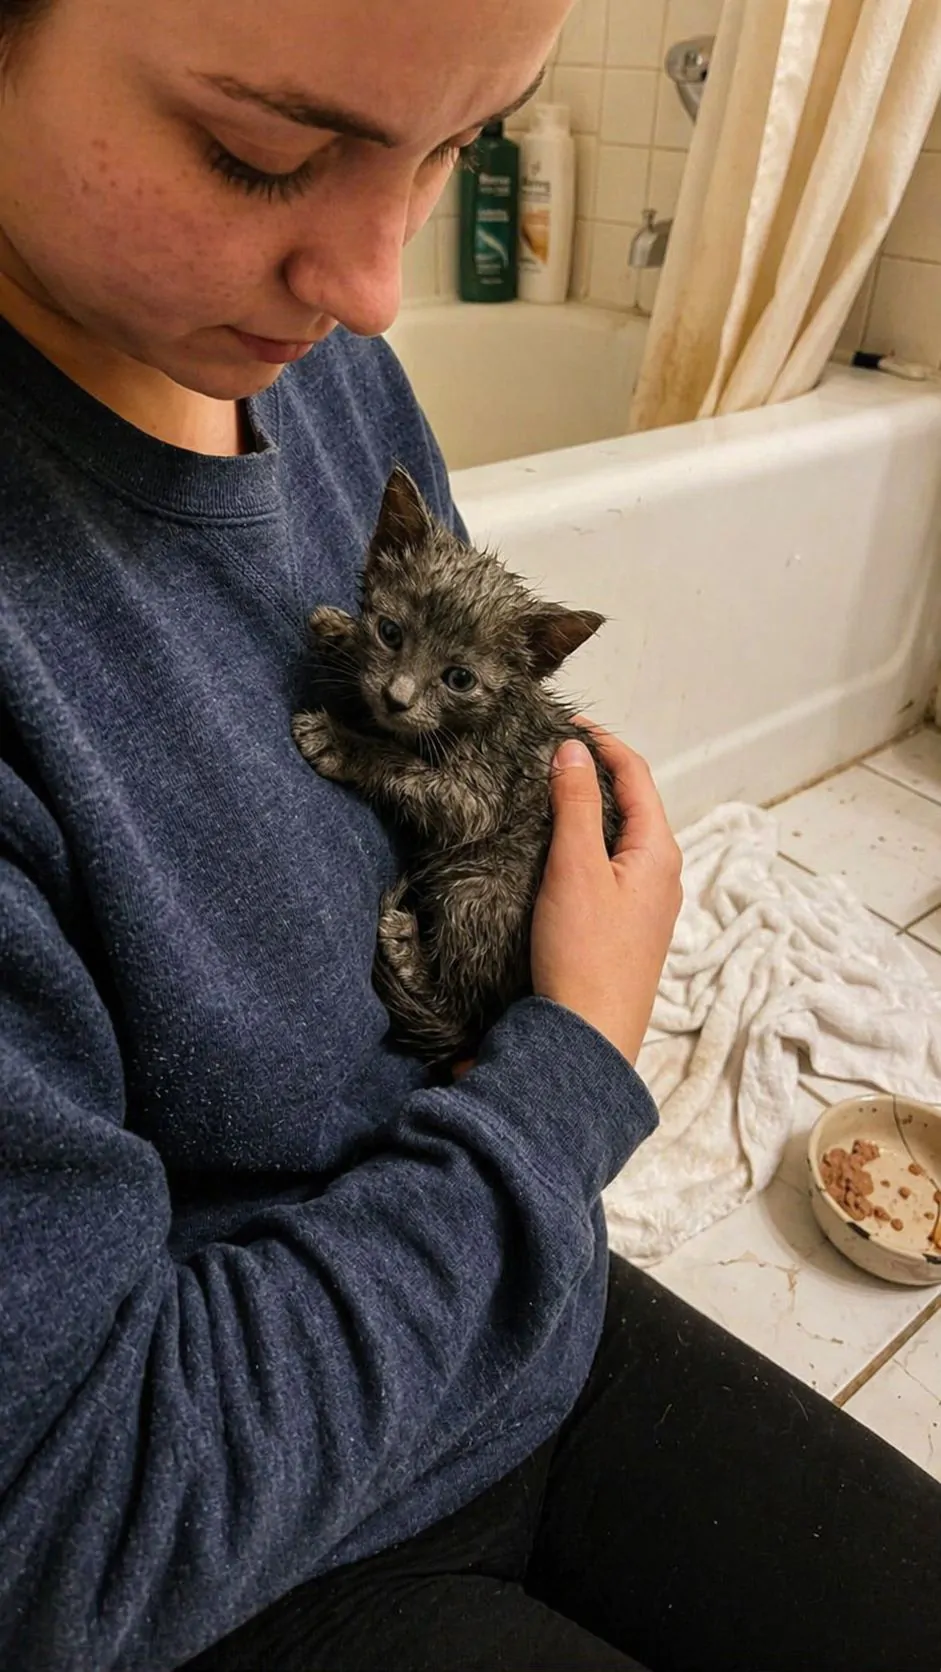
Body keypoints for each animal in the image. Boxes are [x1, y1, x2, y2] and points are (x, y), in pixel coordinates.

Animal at [292, 465, 620, 1067]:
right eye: (390, 632)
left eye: (459, 679)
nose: (396, 697)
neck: (489, 716)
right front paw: (340, 632)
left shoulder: (481, 793)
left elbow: (407, 765)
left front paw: (338, 740)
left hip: (485, 887)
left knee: (462, 1010)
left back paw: (405, 951)